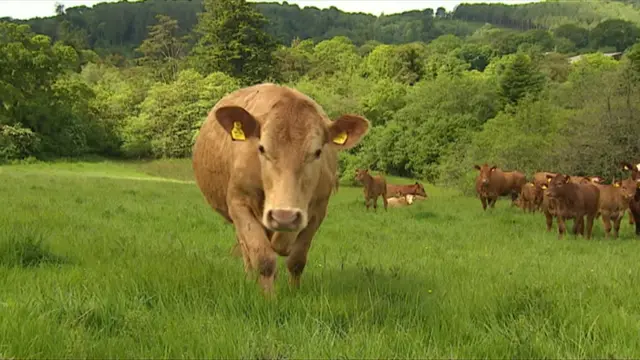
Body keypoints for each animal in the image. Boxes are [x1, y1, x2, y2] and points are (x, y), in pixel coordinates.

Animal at [191, 83, 370, 296]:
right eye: (261, 148)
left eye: (317, 152)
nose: (284, 216)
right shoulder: (239, 203)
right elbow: (263, 258)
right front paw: (268, 297)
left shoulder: (318, 210)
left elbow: (296, 259)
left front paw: (294, 293)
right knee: (247, 251)